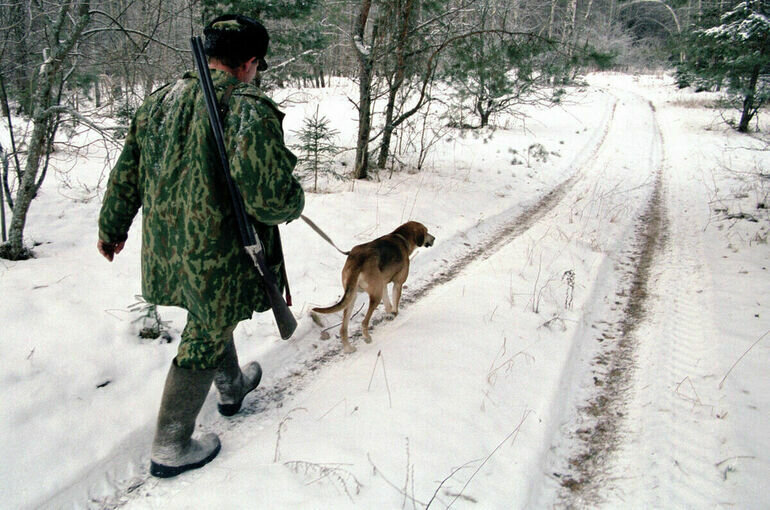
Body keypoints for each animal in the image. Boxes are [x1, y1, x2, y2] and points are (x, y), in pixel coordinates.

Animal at [310, 221, 432, 352]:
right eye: (426, 231)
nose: (434, 238)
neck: (401, 238)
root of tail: (358, 260)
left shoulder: (382, 285)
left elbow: (388, 304)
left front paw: (389, 315)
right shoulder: (398, 284)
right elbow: (395, 303)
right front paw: (394, 313)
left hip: (352, 297)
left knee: (343, 329)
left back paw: (349, 348)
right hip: (375, 296)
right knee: (364, 322)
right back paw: (367, 338)